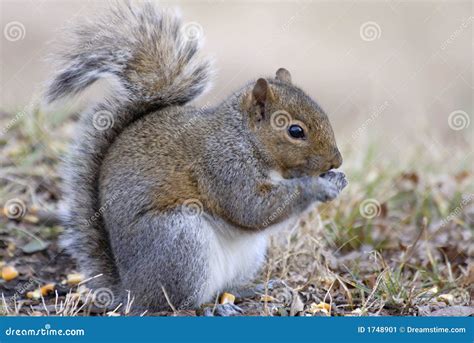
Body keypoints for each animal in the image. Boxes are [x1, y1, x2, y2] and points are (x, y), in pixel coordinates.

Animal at [44, 2, 346, 314]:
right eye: (295, 131)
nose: (336, 161)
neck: (245, 138)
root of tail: (130, 292)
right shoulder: (222, 165)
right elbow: (252, 208)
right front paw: (318, 186)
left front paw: (336, 179)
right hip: (180, 242)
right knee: (176, 303)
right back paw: (207, 308)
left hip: (246, 255)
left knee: (225, 287)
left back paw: (249, 290)